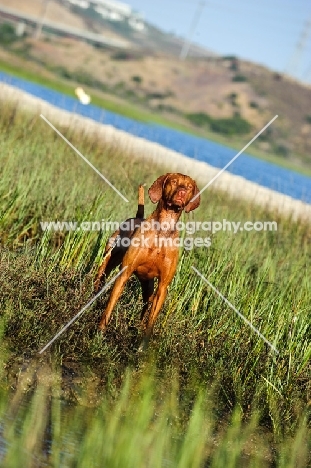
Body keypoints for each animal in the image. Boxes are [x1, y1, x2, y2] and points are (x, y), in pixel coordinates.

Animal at [95, 173, 201, 348]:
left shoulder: (163, 287)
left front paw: (142, 345)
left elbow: (151, 319)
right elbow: (110, 306)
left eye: (190, 187)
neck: (163, 229)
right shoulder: (124, 274)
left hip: (148, 286)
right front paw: (100, 331)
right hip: (108, 259)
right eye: (174, 181)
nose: (182, 192)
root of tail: (138, 217)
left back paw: (137, 327)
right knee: (100, 278)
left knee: (146, 304)